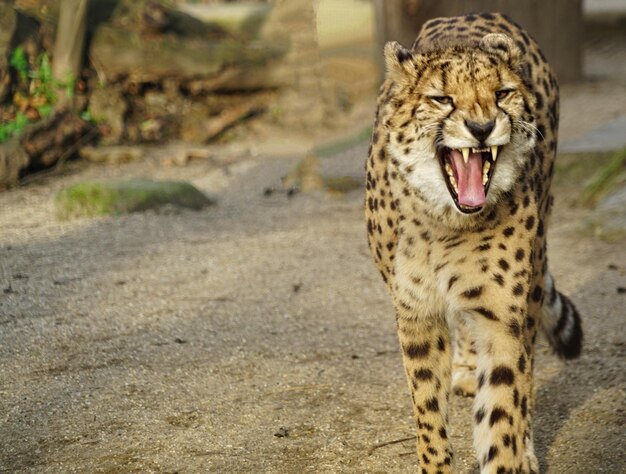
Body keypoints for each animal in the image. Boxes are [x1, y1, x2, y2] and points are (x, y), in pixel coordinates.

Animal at [364, 12, 584, 472]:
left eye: (502, 94)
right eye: (442, 99)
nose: (481, 128)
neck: (446, 223)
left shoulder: (502, 314)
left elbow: (503, 406)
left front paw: (511, 455)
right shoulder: (417, 313)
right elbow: (428, 411)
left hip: (532, 281)